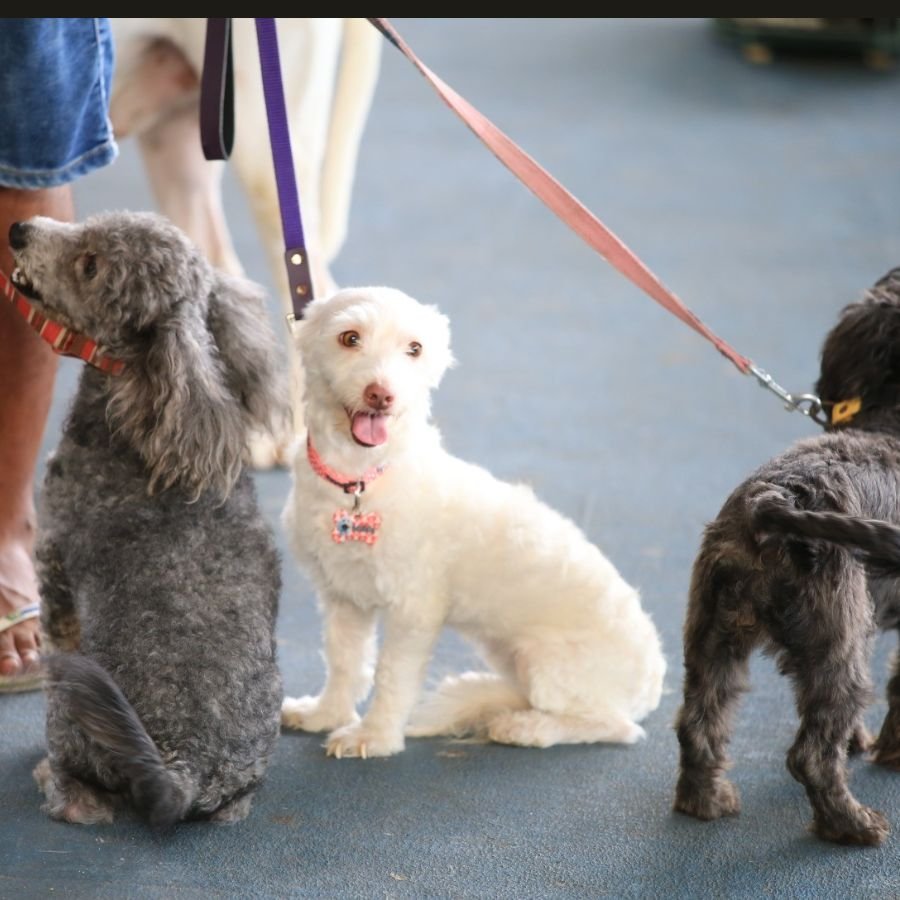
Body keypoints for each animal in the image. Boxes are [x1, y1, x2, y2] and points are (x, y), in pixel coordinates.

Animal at [282, 288, 668, 760]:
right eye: (349, 337)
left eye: (415, 348)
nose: (381, 395)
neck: (357, 480)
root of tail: (651, 686)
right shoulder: (342, 597)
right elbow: (344, 662)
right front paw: (326, 715)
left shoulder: (414, 609)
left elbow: (391, 675)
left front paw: (375, 736)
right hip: (511, 656)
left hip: (549, 663)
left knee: (614, 726)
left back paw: (526, 727)